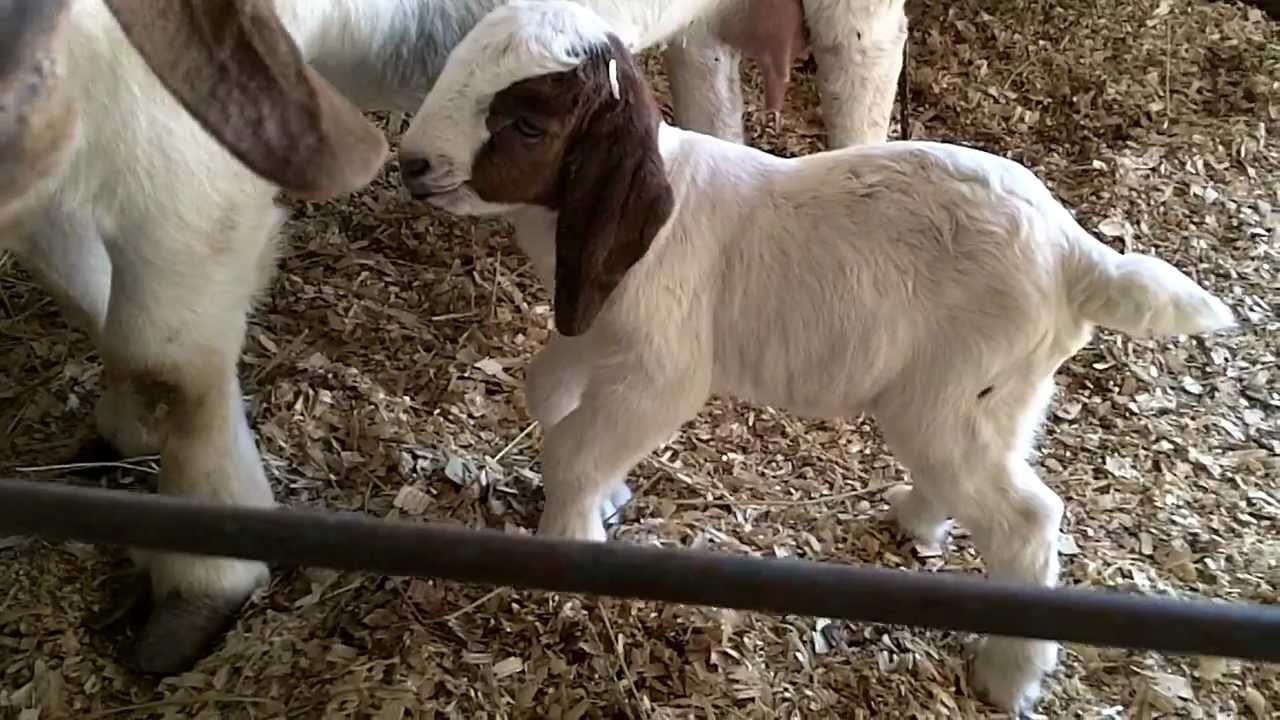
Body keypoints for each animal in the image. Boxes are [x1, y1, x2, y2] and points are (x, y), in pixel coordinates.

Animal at [396, 1, 1238, 712]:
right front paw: (606, 498)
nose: (411, 164)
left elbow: (574, 447)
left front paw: (568, 548)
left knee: (1027, 518)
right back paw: (919, 520)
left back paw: (1007, 678)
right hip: (999, 395)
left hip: (952, 395)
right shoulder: (592, 330)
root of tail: (1074, 254)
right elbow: (550, 395)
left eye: (527, 124)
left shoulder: (660, 374)